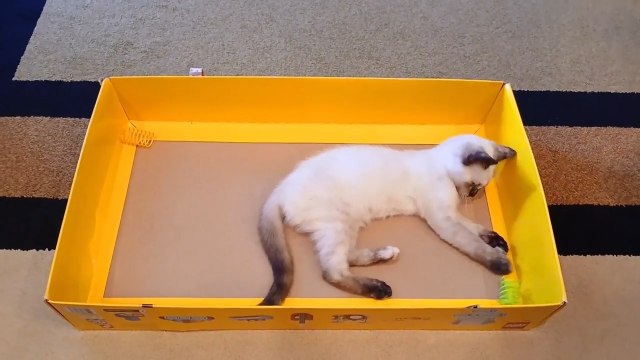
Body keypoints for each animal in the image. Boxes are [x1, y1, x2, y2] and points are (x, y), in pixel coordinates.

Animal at [258, 134, 516, 306]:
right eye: (475, 186)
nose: (472, 196)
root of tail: (280, 189)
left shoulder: (452, 214)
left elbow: (475, 229)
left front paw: (496, 240)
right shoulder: (443, 219)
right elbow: (473, 243)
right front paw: (501, 263)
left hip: (350, 223)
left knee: (348, 257)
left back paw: (386, 254)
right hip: (338, 224)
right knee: (332, 271)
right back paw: (380, 288)